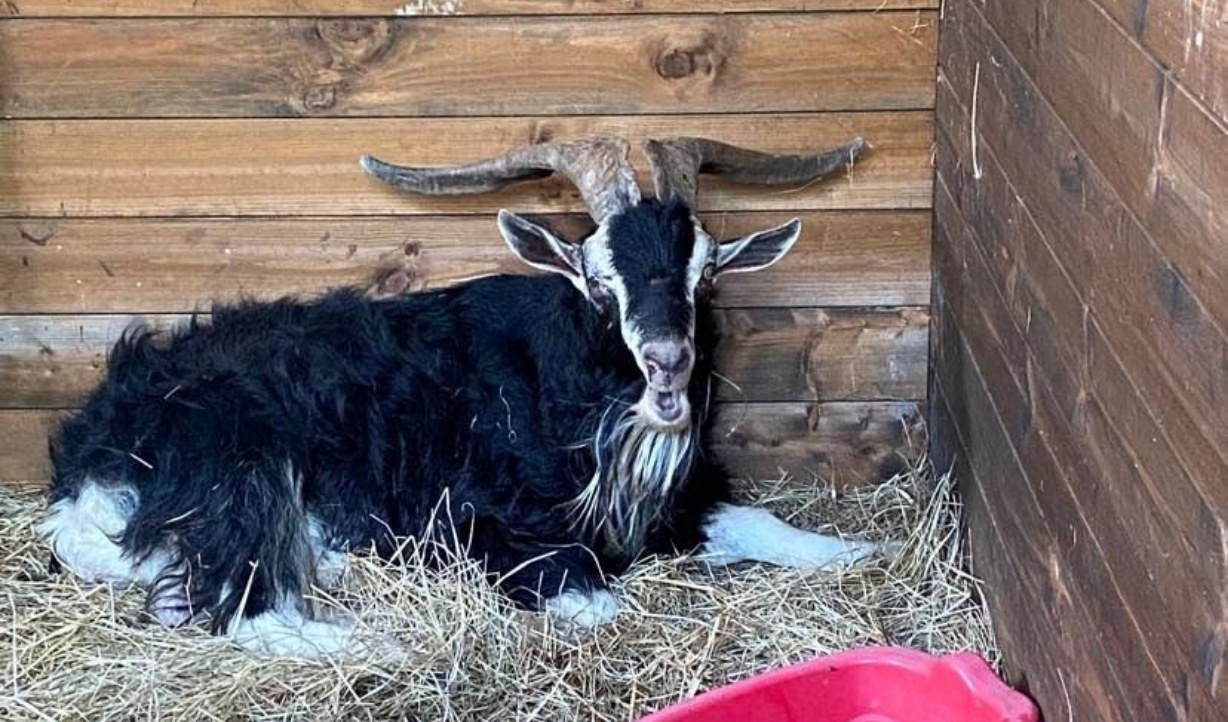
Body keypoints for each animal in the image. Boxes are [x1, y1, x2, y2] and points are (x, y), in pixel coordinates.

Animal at [38, 133, 879, 653]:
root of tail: (88, 455)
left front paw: (862, 549)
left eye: (706, 273)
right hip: (239, 469)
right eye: (596, 279)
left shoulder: (674, 501)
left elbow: (763, 521)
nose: (668, 363)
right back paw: (380, 644)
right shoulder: (480, 521)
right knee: (248, 611)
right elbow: (599, 601)